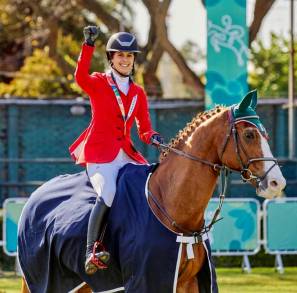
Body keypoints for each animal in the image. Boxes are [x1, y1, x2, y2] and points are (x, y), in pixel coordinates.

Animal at [19, 90, 284, 290]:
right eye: (249, 134)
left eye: (266, 134)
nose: (277, 183)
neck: (170, 203)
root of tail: (35, 197)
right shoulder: (149, 280)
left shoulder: (188, 283)